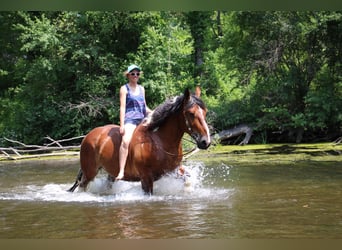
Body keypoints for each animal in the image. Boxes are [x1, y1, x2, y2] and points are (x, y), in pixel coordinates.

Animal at [67, 88, 211, 195]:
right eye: (191, 113)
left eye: (205, 112)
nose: (206, 141)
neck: (160, 142)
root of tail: (89, 135)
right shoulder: (146, 178)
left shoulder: (173, 171)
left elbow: (187, 180)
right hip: (90, 172)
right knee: (82, 186)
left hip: (110, 174)